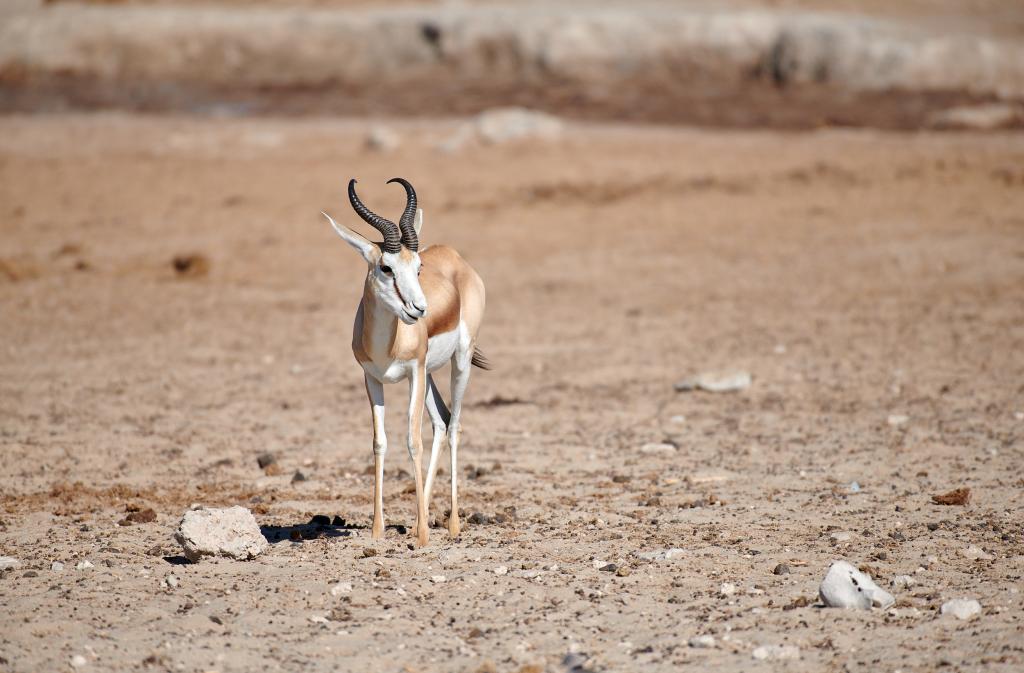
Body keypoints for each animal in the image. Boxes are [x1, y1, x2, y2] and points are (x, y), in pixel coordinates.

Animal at [325, 177, 489, 544]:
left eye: (418, 267)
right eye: (386, 267)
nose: (419, 309)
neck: (387, 346)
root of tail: (454, 256)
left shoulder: (413, 371)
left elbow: (413, 440)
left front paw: (425, 536)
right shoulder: (372, 378)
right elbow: (380, 442)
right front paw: (377, 529)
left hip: (459, 361)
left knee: (454, 426)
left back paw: (450, 524)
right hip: (428, 376)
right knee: (441, 421)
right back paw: (418, 519)